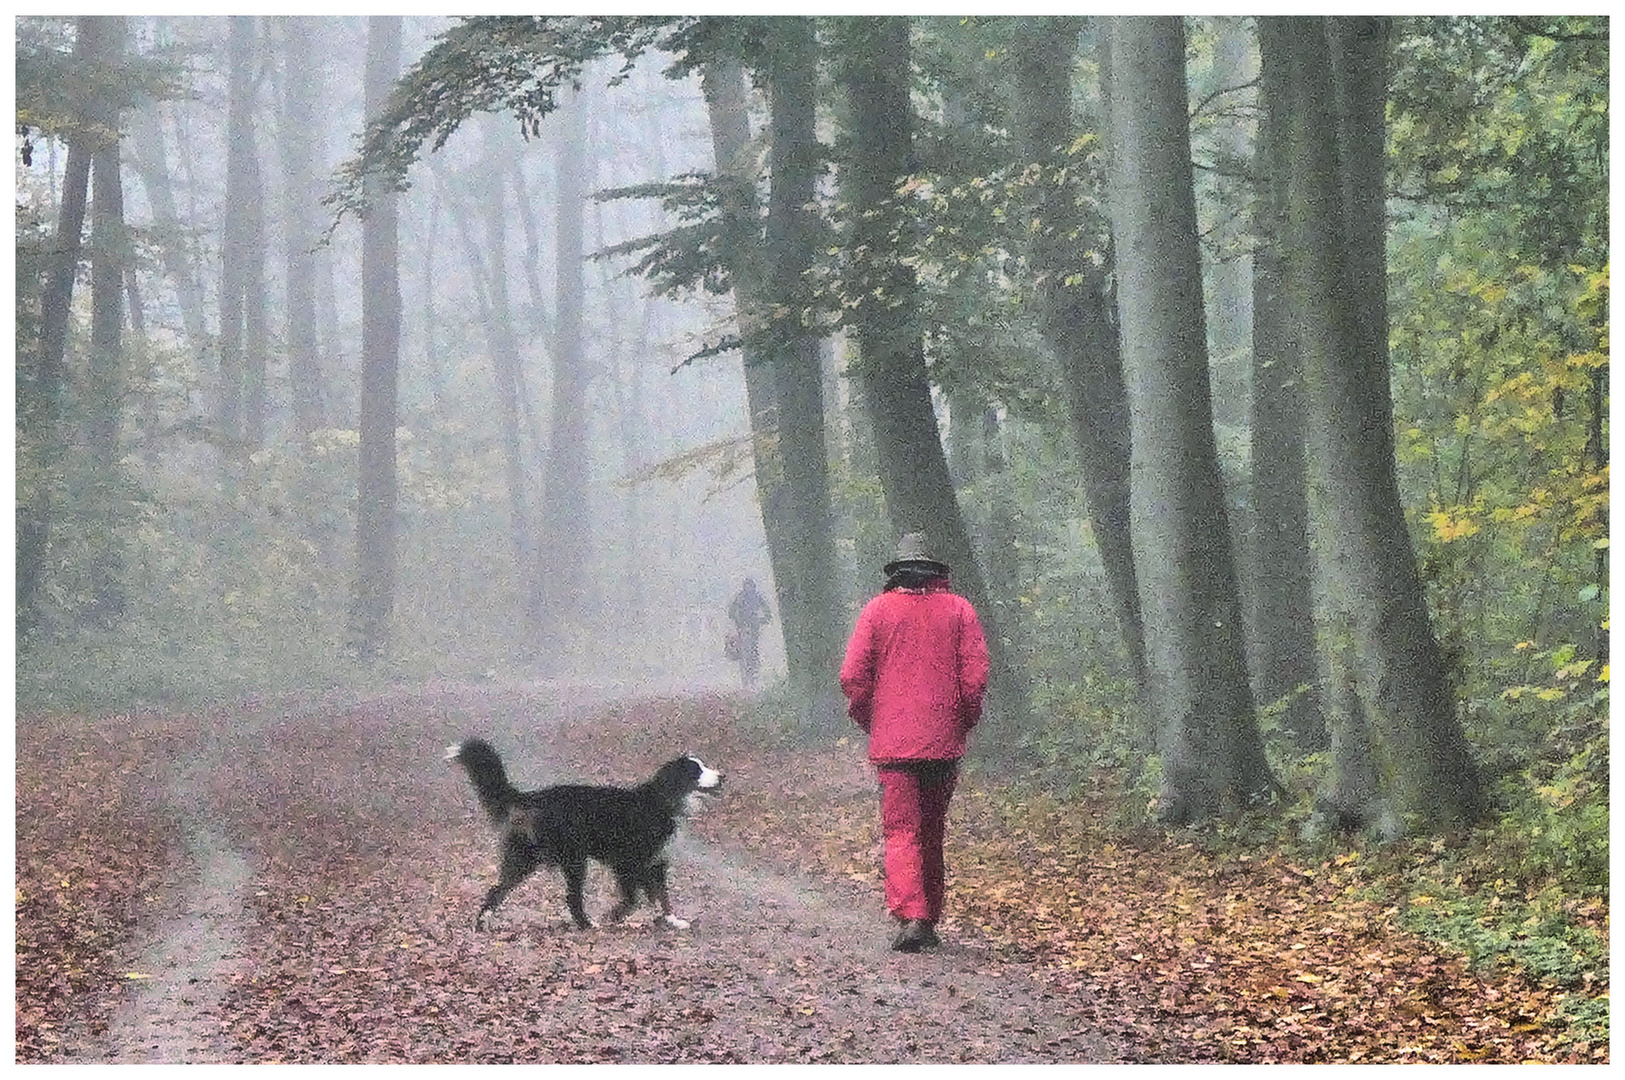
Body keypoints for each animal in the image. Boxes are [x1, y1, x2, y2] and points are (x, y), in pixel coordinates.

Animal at [448, 737, 721, 928]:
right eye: (696, 771)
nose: (722, 776)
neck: (663, 801)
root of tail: (534, 797)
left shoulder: (657, 862)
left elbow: (662, 896)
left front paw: (672, 920)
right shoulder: (627, 862)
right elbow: (633, 898)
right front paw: (614, 916)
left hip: (526, 858)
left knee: (497, 889)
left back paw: (483, 923)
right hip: (573, 860)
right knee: (571, 898)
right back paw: (588, 924)